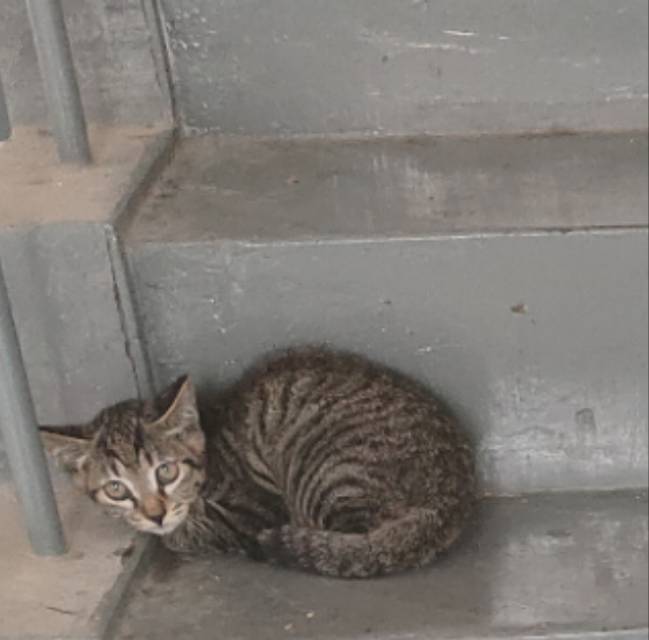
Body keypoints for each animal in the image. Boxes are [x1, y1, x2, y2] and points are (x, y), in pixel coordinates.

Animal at [41, 348, 476, 576]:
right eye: (117, 488)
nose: (155, 514)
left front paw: (172, 531)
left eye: (166, 470)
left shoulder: (251, 510)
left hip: (328, 473)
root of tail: (451, 498)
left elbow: (191, 533)